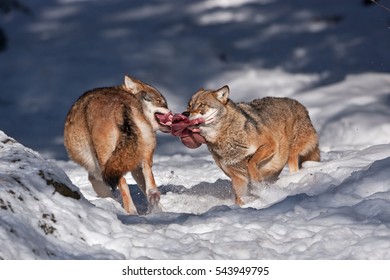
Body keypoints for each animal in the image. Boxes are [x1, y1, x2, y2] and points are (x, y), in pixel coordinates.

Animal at [64, 75, 171, 214]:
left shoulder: (95, 175)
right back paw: (153, 196)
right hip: (146, 148)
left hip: (106, 161)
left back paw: (131, 211)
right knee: (148, 171)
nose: (172, 112)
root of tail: (122, 105)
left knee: (123, 182)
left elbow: (104, 191)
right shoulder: (135, 168)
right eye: (159, 101)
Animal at [183, 85, 320, 206]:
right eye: (189, 105)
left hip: (291, 154)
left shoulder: (269, 145)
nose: (185, 113)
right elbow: (239, 198)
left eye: (202, 105)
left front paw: (257, 182)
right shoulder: (238, 178)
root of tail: (301, 105)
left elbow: (251, 161)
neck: (226, 138)